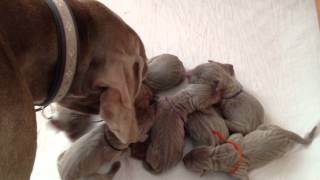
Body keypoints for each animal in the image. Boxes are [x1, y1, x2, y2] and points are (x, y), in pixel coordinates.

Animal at [182, 124, 318, 180]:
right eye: (190, 152)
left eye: (189, 165)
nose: (183, 159)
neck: (215, 156)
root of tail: (285, 133)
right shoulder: (232, 140)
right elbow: (237, 135)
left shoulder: (237, 171)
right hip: (269, 127)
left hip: (284, 147)